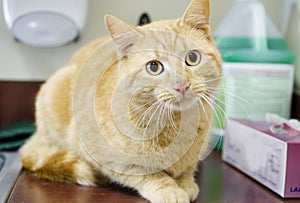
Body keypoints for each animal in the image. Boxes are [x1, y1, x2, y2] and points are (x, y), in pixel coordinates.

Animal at [20, 0, 223, 201]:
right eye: (154, 67)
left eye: (193, 57)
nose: (182, 86)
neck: (176, 124)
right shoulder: (105, 158)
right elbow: (146, 173)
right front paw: (169, 190)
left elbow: (188, 167)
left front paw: (186, 182)